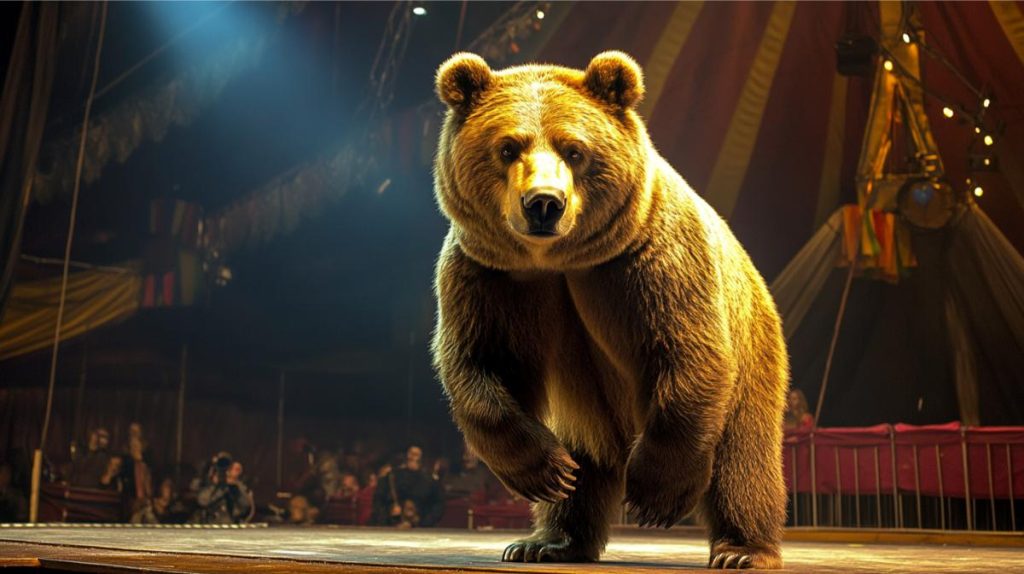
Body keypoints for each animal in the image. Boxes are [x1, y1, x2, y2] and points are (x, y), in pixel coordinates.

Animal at [428, 50, 786, 568]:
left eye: (574, 150)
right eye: (508, 148)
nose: (543, 203)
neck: (560, 262)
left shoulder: (651, 262)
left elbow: (686, 354)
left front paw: (655, 496)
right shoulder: (488, 275)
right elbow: (482, 363)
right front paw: (547, 472)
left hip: (753, 347)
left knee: (742, 460)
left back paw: (742, 549)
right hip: (583, 417)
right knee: (586, 471)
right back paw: (547, 541)